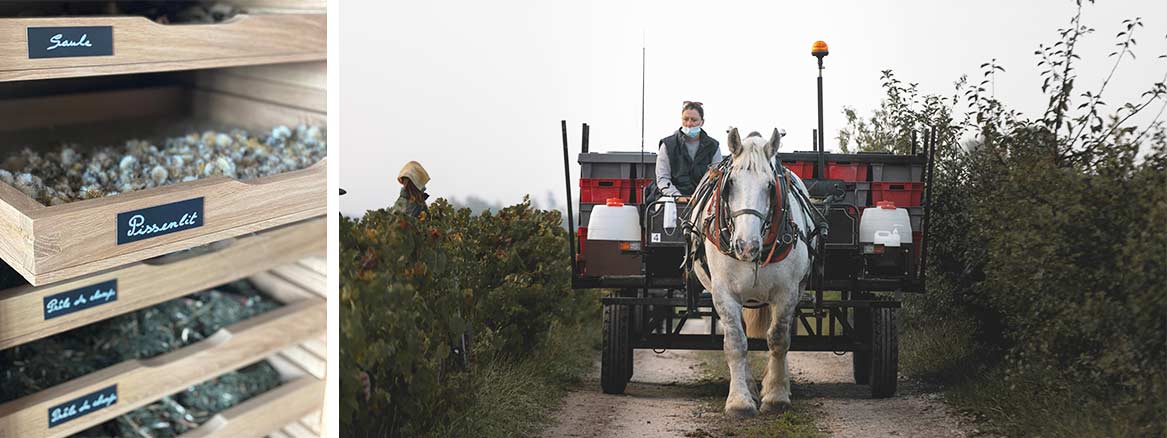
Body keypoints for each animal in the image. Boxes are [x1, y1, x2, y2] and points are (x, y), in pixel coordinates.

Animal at [686, 127, 817, 418]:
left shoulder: (787, 292)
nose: (747, 245)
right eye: (731, 183)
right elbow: (736, 343)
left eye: (769, 185)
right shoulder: (724, 294)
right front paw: (739, 401)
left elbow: (779, 339)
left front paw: (776, 395)